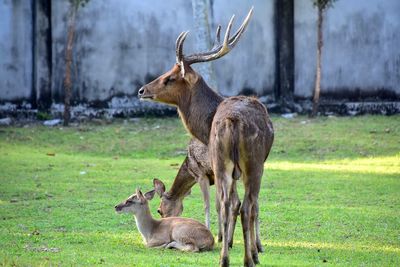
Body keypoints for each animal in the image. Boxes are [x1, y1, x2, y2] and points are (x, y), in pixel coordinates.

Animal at [136, 7, 274, 266]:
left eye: (170, 77)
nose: (142, 90)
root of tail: (231, 121)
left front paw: (234, 242)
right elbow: (249, 206)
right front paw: (250, 247)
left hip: (227, 163)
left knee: (230, 203)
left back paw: (228, 257)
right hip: (251, 163)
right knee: (243, 205)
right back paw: (245, 257)